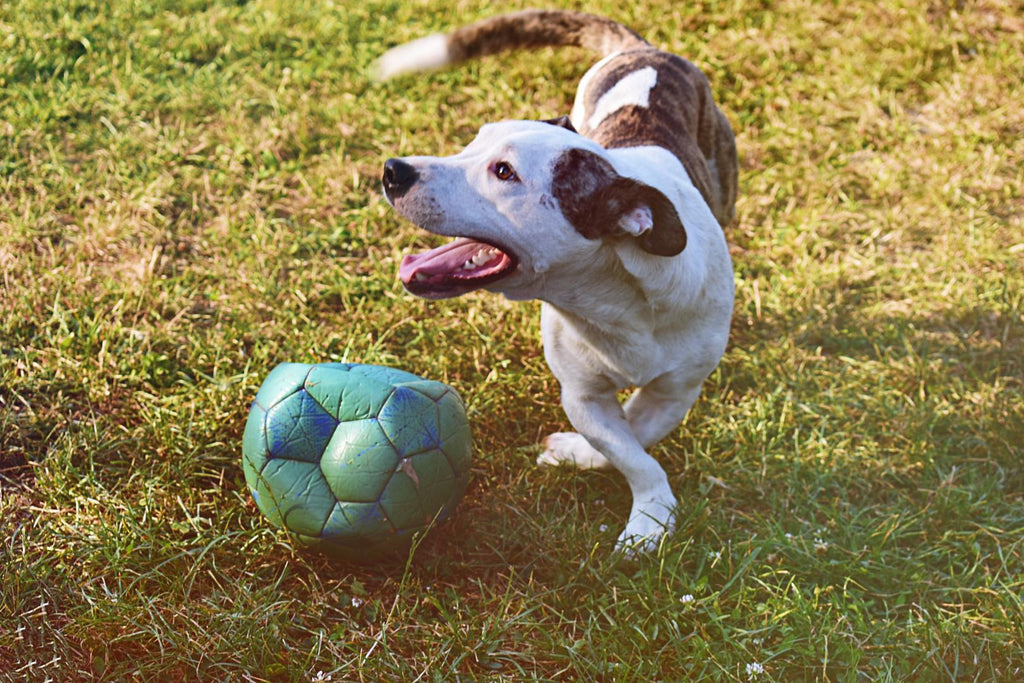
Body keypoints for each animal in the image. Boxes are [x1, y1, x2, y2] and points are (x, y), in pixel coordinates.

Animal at [376, 9, 737, 557]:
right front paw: (636, 499)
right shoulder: (582, 395)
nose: (394, 169)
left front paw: (647, 516)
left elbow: (639, 437)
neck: (612, 298)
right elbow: (627, 449)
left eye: (504, 171)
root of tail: (645, 50)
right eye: (473, 142)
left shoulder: (674, 391)